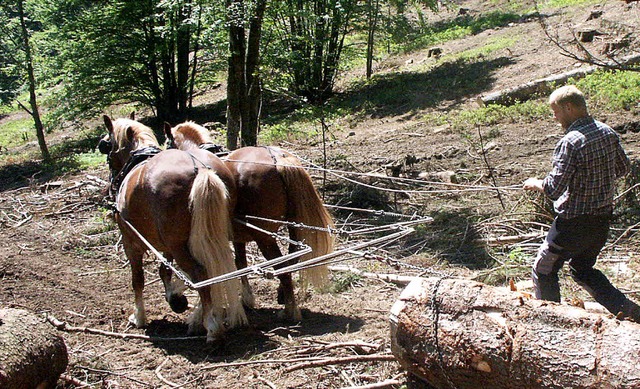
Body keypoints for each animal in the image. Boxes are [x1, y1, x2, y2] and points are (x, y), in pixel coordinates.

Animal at [99, 115, 246, 340]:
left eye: (106, 146)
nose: (111, 185)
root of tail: (201, 169)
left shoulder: (131, 242)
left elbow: (137, 280)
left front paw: (139, 316)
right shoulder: (164, 243)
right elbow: (164, 270)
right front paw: (174, 298)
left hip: (178, 244)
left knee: (201, 272)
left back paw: (212, 326)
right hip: (206, 235)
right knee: (216, 268)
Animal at [165, 123, 336, 320]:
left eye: (167, 144)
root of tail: (277, 159)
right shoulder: (237, 236)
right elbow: (240, 263)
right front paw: (246, 299)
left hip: (264, 236)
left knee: (281, 264)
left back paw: (290, 310)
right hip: (294, 224)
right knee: (292, 258)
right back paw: (283, 295)